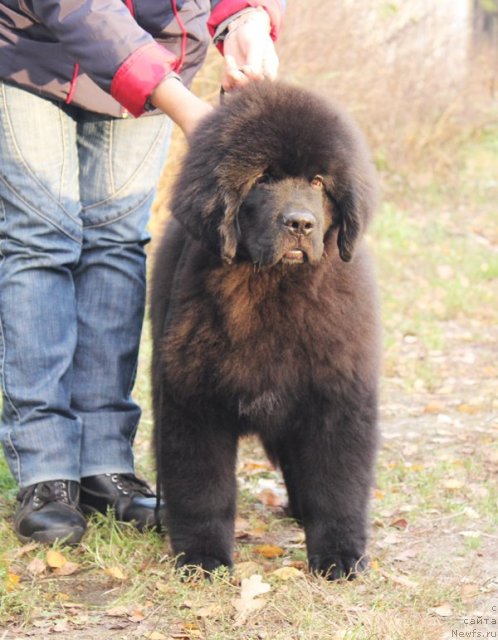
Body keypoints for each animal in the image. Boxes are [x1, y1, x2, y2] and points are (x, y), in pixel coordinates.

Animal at [150, 80, 380, 580]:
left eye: (318, 182)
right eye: (264, 179)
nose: (300, 224)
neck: (273, 290)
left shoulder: (336, 396)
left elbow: (338, 486)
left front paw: (340, 556)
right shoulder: (192, 400)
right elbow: (203, 489)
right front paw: (202, 557)